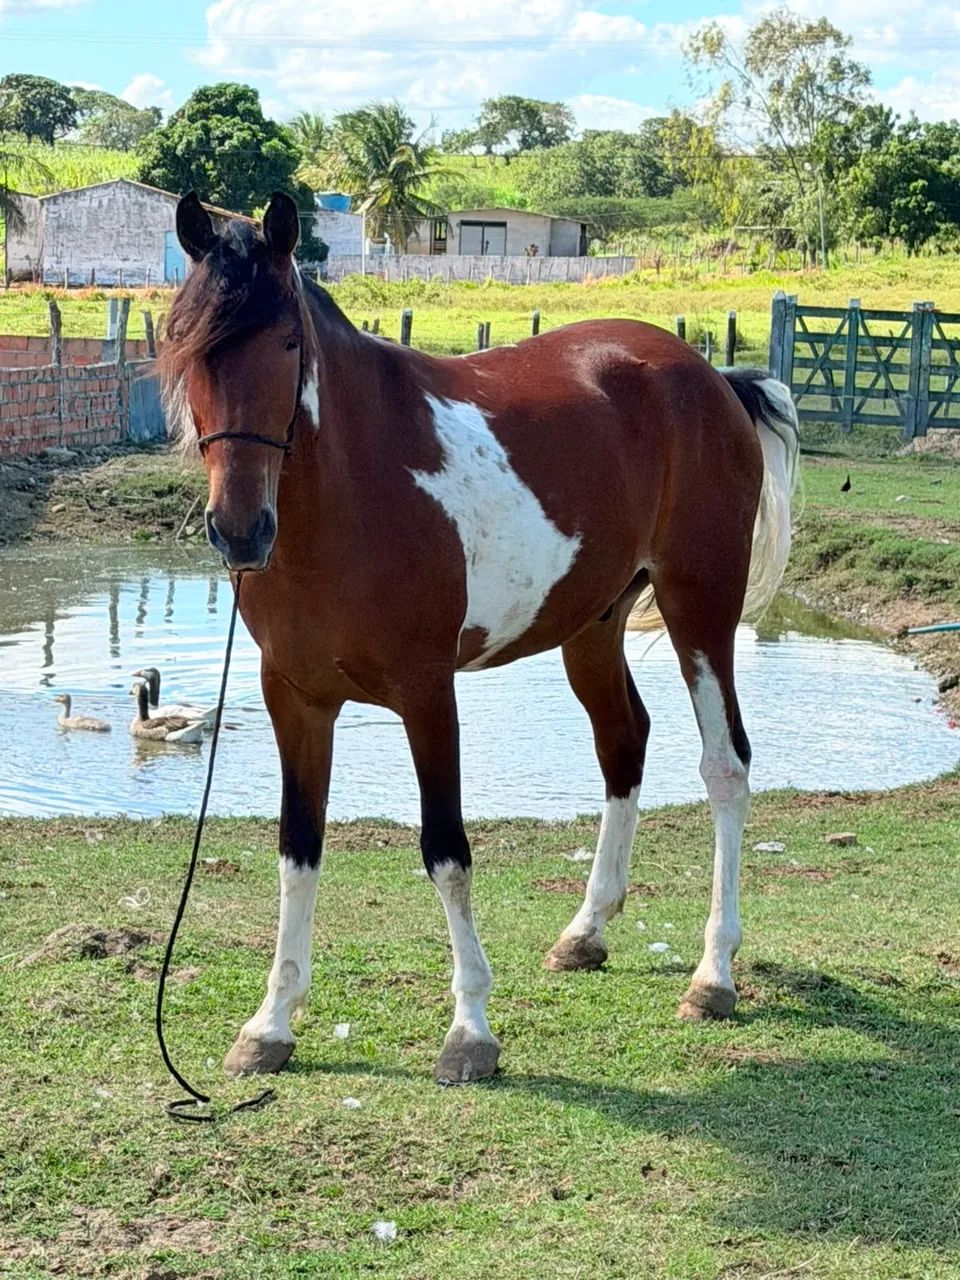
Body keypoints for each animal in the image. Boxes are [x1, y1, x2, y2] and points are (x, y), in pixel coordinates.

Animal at [160, 191, 799, 1085]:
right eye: (187, 345)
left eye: (286, 341)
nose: (240, 530)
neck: (355, 492)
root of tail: (710, 377)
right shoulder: (295, 699)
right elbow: (298, 848)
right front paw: (271, 1024)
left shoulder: (429, 694)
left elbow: (446, 851)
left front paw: (470, 1031)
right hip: (593, 625)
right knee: (622, 742)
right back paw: (587, 932)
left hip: (699, 605)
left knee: (725, 766)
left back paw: (714, 976)